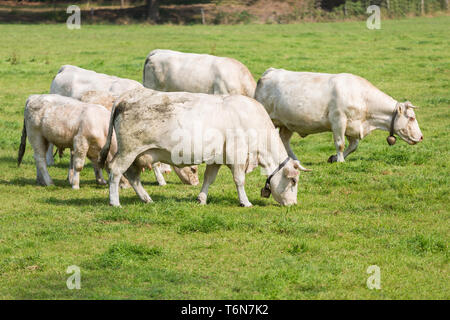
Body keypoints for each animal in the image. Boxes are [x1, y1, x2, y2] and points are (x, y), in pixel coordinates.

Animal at [99, 87, 302, 208]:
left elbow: (208, 179)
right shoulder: (237, 155)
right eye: (293, 181)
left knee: (132, 176)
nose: (293, 204)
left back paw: (146, 198)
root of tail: (127, 96)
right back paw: (115, 202)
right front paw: (245, 202)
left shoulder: (217, 157)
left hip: (138, 155)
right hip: (128, 151)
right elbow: (239, 180)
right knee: (115, 171)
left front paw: (201, 199)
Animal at [255, 67, 424, 162]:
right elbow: (340, 143)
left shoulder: (352, 126)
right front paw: (340, 160)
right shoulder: (338, 121)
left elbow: (353, 146)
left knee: (284, 141)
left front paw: (334, 157)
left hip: (287, 124)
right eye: (411, 117)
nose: (422, 137)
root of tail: (271, 71)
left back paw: (294, 160)